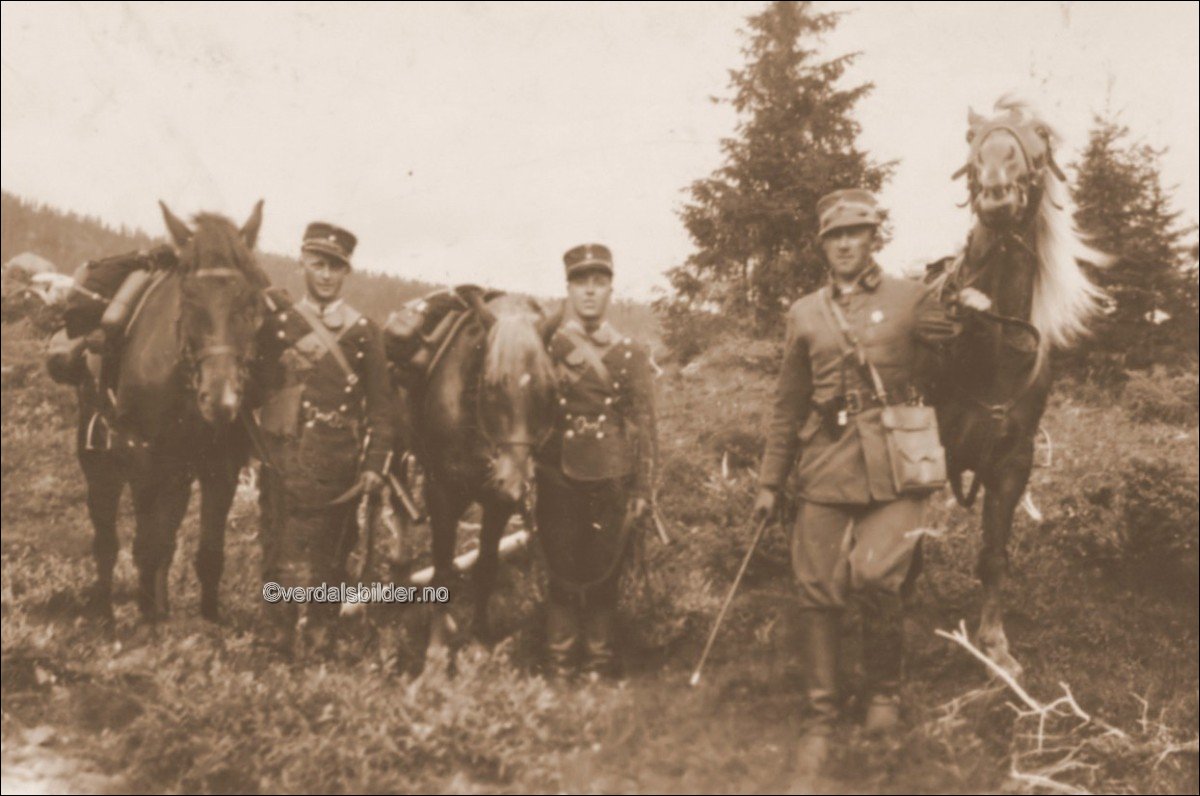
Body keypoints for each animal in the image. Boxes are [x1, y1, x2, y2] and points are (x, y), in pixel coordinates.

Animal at [84, 202, 269, 623]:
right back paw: (105, 613)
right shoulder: (143, 461)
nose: (220, 399)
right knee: (108, 538)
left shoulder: (220, 466)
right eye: (189, 299)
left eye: (249, 301)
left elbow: (207, 554)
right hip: (101, 462)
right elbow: (145, 547)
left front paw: (208, 622)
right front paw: (147, 623)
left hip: (178, 475)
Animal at [397, 291, 557, 651]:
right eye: (492, 385)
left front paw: (480, 637)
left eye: (548, 389)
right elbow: (442, 571)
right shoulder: (440, 491)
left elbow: (486, 567)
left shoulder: (498, 502)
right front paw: (437, 649)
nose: (515, 482)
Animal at [930, 96, 1106, 677]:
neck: (988, 343)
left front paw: (994, 646)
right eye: (972, 135)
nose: (996, 192)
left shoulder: (1012, 462)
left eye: (1041, 137)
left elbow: (994, 556)